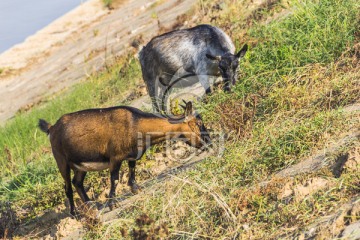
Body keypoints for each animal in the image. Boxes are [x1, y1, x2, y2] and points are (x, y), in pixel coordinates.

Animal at [38, 101, 210, 216]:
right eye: (199, 123)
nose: (208, 142)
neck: (136, 124)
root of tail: (52, 128)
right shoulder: (115, 158)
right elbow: (114, 179)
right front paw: (112, 203)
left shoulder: (132, 155)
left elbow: (132, 169)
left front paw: (135, 188)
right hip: (61, 161)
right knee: (67, 187)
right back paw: (75, 213)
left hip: (81, 165)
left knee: (77, 182)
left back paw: (93, 205)